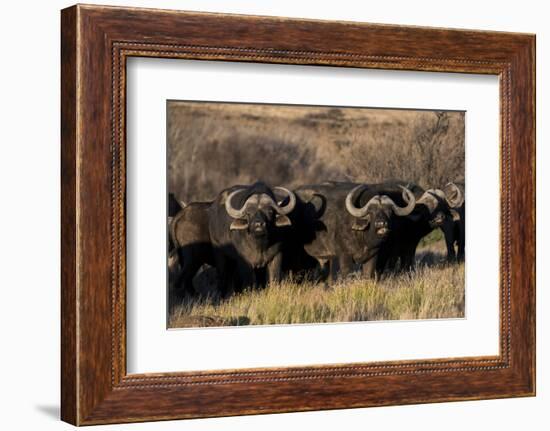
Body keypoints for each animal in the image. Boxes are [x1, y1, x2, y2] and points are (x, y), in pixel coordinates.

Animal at [288, 181, 418, 280]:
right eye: (371, 212)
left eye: (389, 211)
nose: (381, 224)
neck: (362, 237)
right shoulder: (345, 257)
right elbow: (347, 276)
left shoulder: (372, 257)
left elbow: (368, 276)